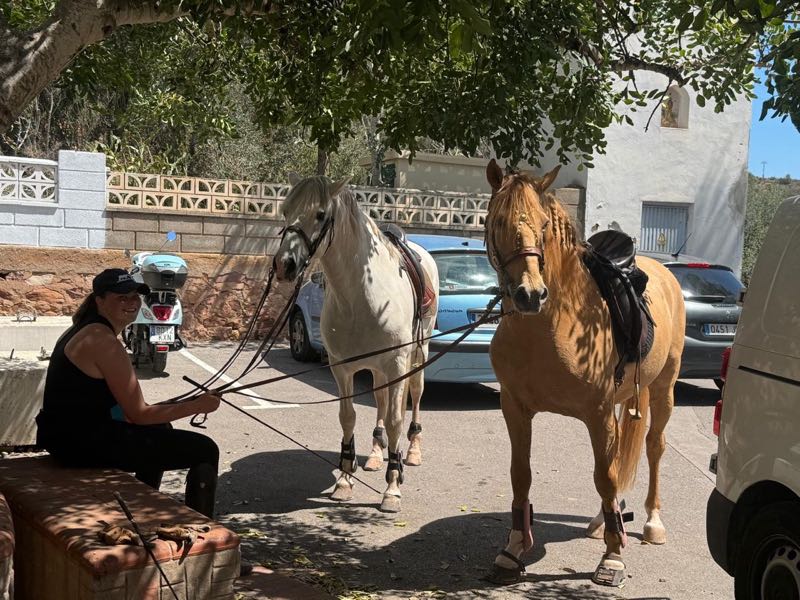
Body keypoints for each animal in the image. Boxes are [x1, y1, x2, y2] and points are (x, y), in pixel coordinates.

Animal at [274, 174, 439, 513]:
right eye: (285, 211)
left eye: (321, 214)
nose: (284, 265)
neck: (361, 295)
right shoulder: (342, 367)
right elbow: (348, 417)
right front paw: (345, 480)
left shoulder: (397, 364)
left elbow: (396, 419)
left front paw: (393, 487)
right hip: (377, 369)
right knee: (380, 401)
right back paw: (376, 454)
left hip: (419, 353)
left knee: (415, 395)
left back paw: (412, 450)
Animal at [483, 159, 685, 586]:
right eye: (498, 221)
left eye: (544, 225)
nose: (530, 295)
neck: (549, 325)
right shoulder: (515, 408)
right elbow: (521, 474)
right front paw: (513, 550)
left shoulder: (597, 413)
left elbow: (604, 477)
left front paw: (613, 557)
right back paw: (601, 522)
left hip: (664, 389)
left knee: (654, 447)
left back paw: (652, 523)